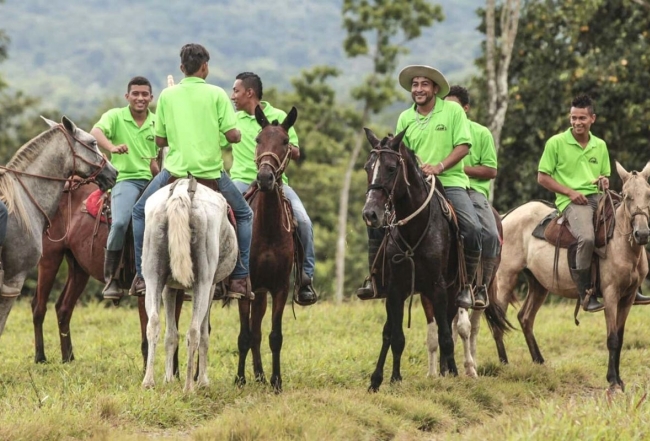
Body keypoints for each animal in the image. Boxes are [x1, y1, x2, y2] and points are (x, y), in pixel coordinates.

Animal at [32, 180, 185, 368]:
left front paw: (175, 373)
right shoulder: (143, 290)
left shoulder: (177, 291)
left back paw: (68, 358)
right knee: (39, 306)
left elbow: (173, 335)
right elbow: (147, 337)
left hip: (79, 269)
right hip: (50, 258)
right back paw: (40, 357)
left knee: (63, 308)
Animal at [140, 177, 237, 390]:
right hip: (203, 282)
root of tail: (180, 193)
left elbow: (170, 334)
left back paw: (149, 381)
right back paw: (189, 387)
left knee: (153, 324)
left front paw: (168, 378)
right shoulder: (210, 287)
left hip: (152, 277)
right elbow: (204, 334)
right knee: (193, 331)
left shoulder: (168, 287)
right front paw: (203, 381)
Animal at [492, 162, 648, 392]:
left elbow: (620, 338)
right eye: (627, 196)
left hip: (538, 284)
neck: (620, 243)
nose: (642, 234)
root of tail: (505, 218)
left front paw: (619, 380)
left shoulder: (627, 298)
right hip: (506, 279)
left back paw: (540, 363)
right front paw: (612, 380)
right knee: (498, 322)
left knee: (525, 318)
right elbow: (612, 338)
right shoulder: (611, 295)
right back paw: (504, 365)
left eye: (648, 195)